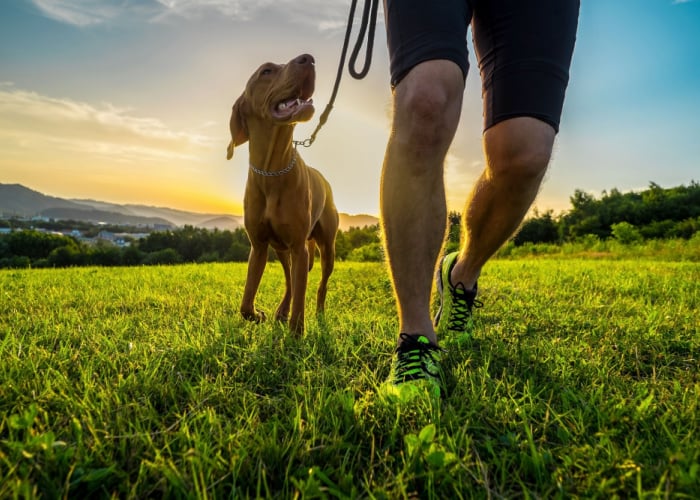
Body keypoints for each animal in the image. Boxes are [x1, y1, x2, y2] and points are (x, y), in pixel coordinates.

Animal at [226, 53, 338, 336]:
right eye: (266, 71)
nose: (308, 58)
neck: (272, 170)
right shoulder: (259, 246)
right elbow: (245, 303)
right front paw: (258, 315)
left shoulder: (299, 246)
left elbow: (301, 298)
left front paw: (296, 333)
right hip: (282, 250)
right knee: (290, 281)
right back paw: (281, 311)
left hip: (326, 248)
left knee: (319, 285)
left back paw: (318, 313)